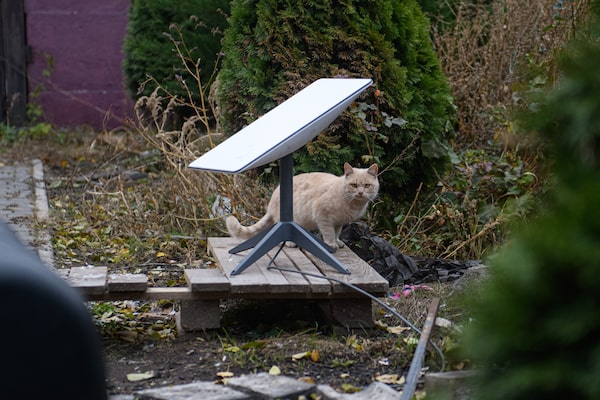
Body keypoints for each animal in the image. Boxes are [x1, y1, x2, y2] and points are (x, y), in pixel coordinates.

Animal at [226, 163, 379, 250]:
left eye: (367, 185)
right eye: (354, 185)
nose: (360, 192)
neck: (353, 204)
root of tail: (271, 203)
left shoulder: (339, 222)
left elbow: (336, 233)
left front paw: (337, 242)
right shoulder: (324, 216)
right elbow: (329, 233)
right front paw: (331, 244)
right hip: (290, 220)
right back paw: (290, 243)